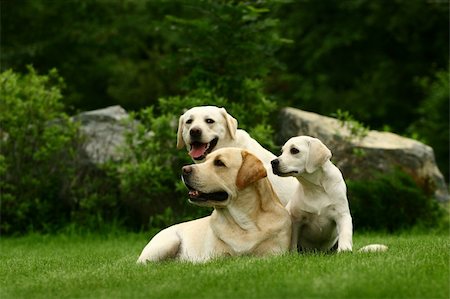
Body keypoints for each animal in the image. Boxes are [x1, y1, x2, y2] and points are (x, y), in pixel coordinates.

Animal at [137, 149, 292, 264]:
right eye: (205, 160)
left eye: (219, 162)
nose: (184, 169)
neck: (244, 223)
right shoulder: (215, 257)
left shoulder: (275, 253)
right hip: (167, 243)